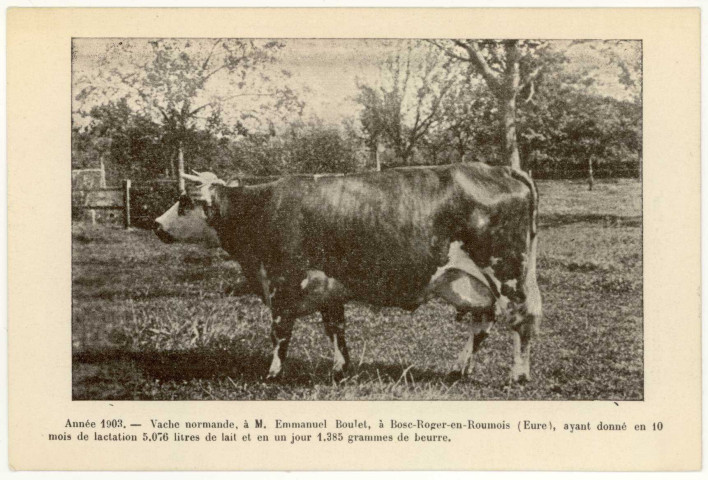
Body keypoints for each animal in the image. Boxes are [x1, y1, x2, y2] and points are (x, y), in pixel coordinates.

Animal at [154, 164, 541, 383]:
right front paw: (341, 368)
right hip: (474, 281)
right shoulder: (329, 288)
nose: (156, 224)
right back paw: (459, 368)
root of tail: (500, 169)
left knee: (521, 319)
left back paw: (519, 375)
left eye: (184, 201)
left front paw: (273, 373)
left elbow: (280, 331)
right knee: (483, 322)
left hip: (507, 272)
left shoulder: (282, 281)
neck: (260, 210)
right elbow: (335, 329)